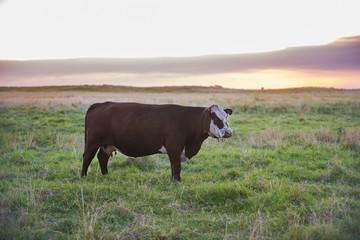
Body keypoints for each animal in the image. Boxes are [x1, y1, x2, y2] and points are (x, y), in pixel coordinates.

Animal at [81, 101, 233, 182]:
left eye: (226, 117)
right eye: (215, 117)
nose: (229, 132)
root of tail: (100, 104)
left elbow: (173, 166)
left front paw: (173, 180)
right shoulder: (174, 147)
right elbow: (176, 166)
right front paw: (177, 181)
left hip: (107, 144)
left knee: (102, 157)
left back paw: (106, 175)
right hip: (93, 142)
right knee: (88, 156)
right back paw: (83, 176)